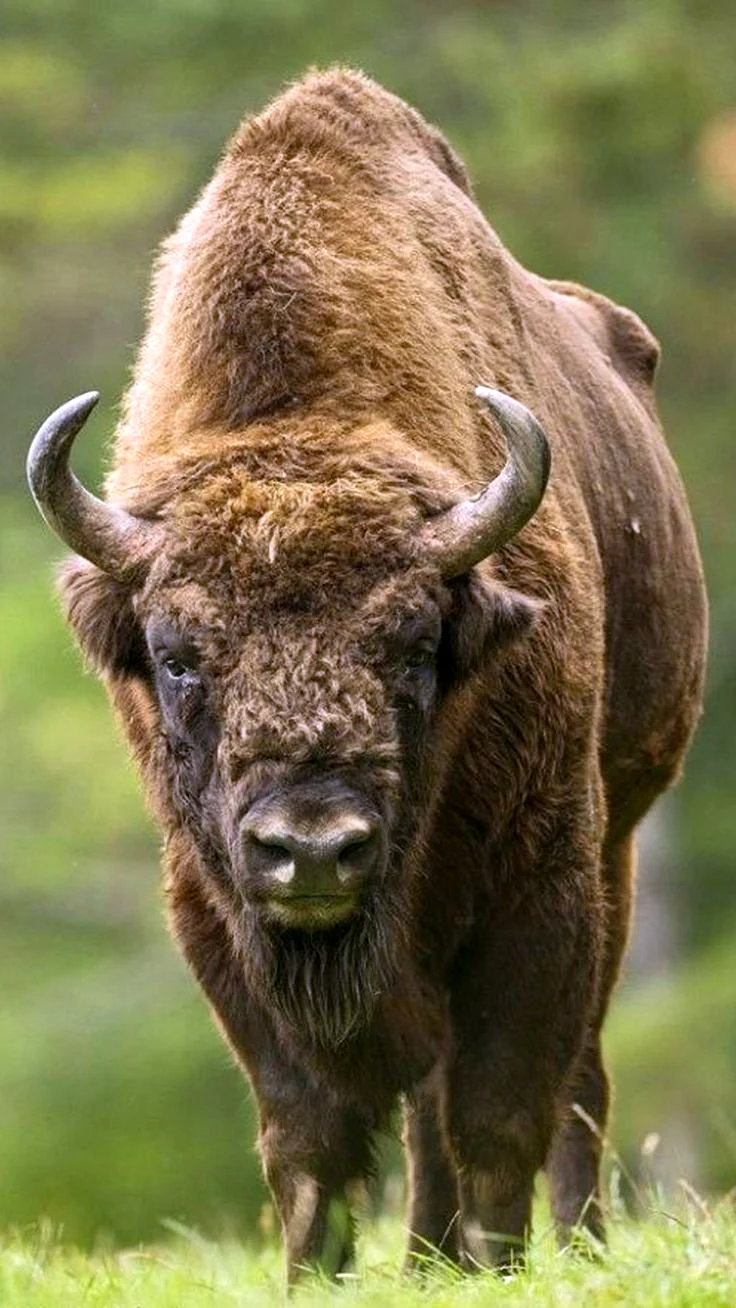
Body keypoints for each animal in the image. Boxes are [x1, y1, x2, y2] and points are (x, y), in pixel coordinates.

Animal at [27, 69, 707, 1280]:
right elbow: (315, 1138)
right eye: (176, 654)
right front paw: (319, 1277)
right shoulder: (214, 910)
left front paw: (506, 1268)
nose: (311, 849)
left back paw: (565, 1247)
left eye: (412, 644)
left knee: (573, 1080)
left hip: (623, 835)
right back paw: (432, 1255)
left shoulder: (542, 877)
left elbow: (502, 1110)